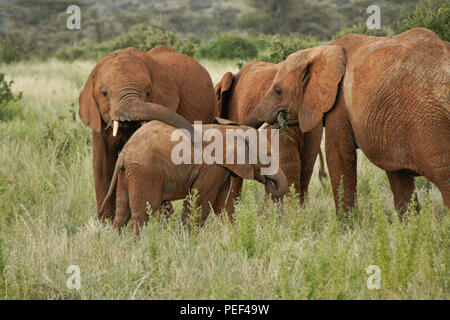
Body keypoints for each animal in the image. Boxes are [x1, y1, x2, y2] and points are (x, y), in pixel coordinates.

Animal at [99, 119, 288, 232]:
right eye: (268, 157)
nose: (270, 181)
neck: (230, 129)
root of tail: (126, 151)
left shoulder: (221, 169)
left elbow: (223, 205)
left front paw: (234, 235)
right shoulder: (211, 167)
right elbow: (200, 202)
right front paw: (184, 238)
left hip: (127, 172)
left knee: (122, 211)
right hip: (145, 172)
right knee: (143, 212)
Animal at [243, 28, 450, 214]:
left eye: (278, 91)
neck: (321, 50)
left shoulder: (339, 103)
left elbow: (339, 156)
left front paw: (345, 226)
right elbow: (399, 176)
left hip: (431, 121)